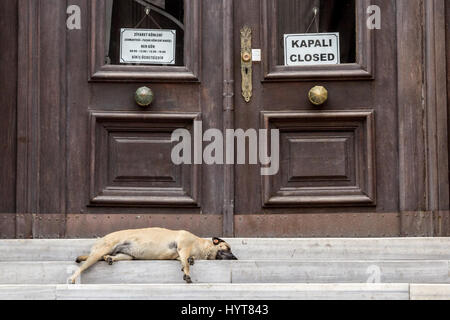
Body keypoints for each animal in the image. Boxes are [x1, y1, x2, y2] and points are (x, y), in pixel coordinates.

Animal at [68, 226, 237, 284]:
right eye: (228, 248)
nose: (236, 258)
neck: (201, 245)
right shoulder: (184, 247)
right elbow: (186, 263)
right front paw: (188, 273)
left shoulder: (180, 254)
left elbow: (184, 261)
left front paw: (188, 263)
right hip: (100, 251)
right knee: (82, 267)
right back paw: (73, 277)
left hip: (127, 256)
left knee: (111, 257)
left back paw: (110, 258)